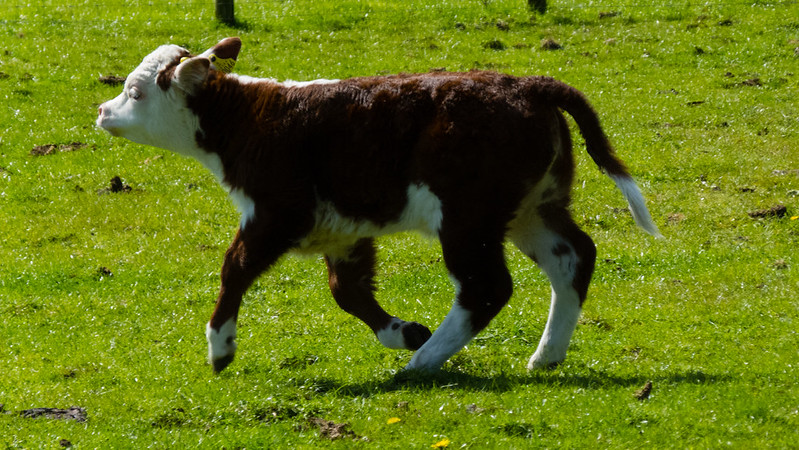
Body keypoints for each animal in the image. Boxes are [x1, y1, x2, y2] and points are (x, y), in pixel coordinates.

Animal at [97, 37, 662, 374]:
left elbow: (234, 269)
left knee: (486, 286)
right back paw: (543, 356)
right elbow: (348, 291)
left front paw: (221, 346)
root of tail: (528, 84)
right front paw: (404, 331)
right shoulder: (343, 231)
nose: (103, 110)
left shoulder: (277, 212)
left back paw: (423, 365)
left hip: (468, 216)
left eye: (135, 92)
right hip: (530, 208)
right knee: (573, 257)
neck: (250, 120)